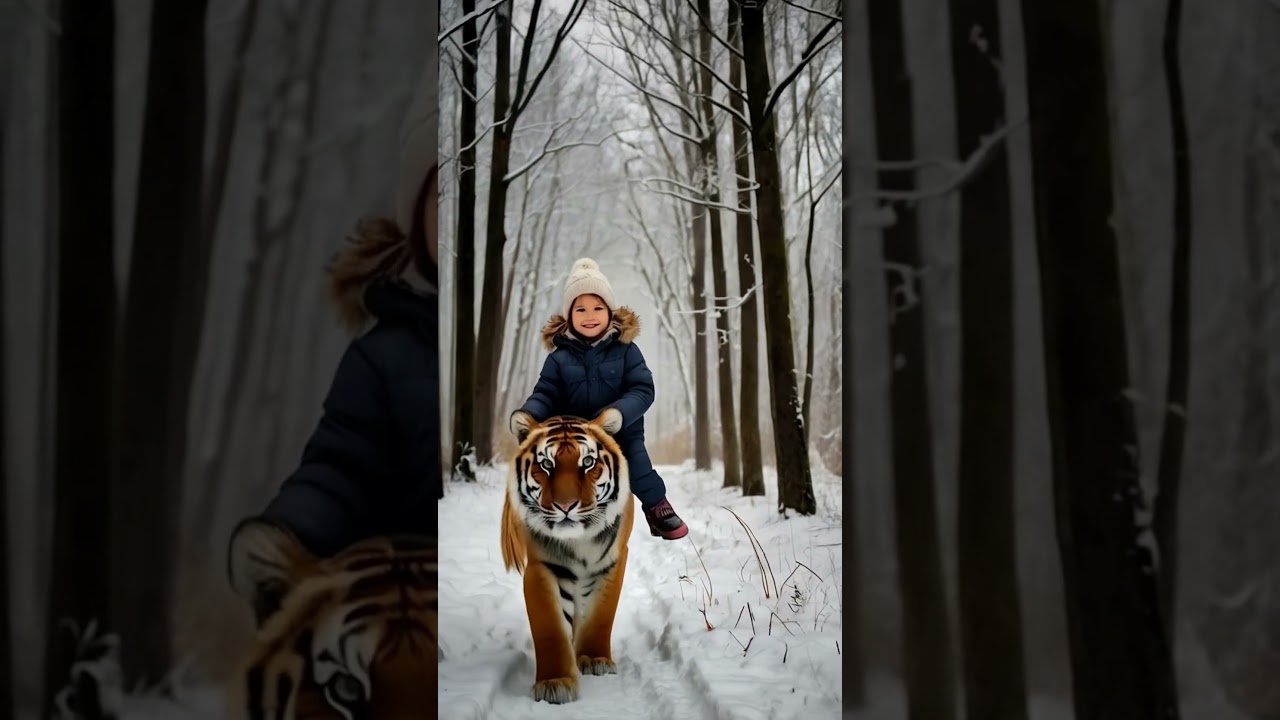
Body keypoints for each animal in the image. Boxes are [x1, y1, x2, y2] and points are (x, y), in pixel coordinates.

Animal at [502, 408, 635, 704]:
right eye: (546, 464)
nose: (565, 506)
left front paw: (595, 660)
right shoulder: (542, 567)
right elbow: (551, 629)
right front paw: (555, 684)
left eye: (587, 462)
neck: (579, 541)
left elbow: (600, 616)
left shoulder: (612, 563)